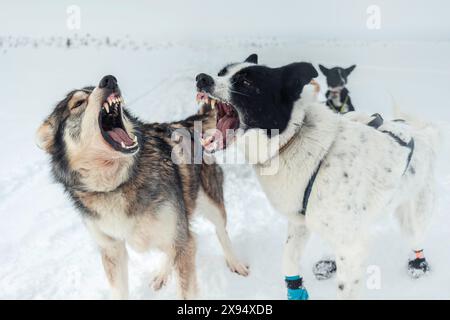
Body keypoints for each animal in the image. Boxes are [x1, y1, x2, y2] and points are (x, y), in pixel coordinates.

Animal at [35, 75, 248, 300]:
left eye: (93, 88)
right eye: (78, 103)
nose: (109, 80)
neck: (117, 183)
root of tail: (183, 124)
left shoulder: (182, 242)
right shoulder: (112, 250)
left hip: (209, 204)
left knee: (221, 232)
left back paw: (235, 263)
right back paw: (162, 273)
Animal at [197, 53, 440, 298]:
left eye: (247, 82)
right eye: (221, 73)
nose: (202, 78)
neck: (293, 140)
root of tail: (420, 132)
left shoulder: (351, 247)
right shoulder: (300, 223)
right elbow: (288, 260)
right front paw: (296, 289)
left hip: (413, 218)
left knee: (415, 239)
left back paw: (418, 264)